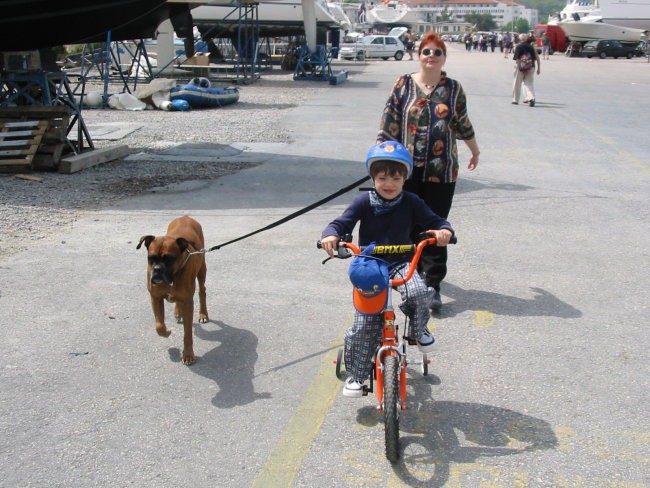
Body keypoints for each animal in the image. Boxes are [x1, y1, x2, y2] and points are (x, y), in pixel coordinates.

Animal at [137, 215, 208, 364]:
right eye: (151, 258)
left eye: (169, 259)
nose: (157, 270)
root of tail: (186, 216)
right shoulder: (155, 298)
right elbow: (159, 325)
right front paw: (166, 332)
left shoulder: (188, 303)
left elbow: (188, 334)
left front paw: (188, 354)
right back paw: (177, 312)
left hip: (202, 270)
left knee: (202, 291)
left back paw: (203, 314)